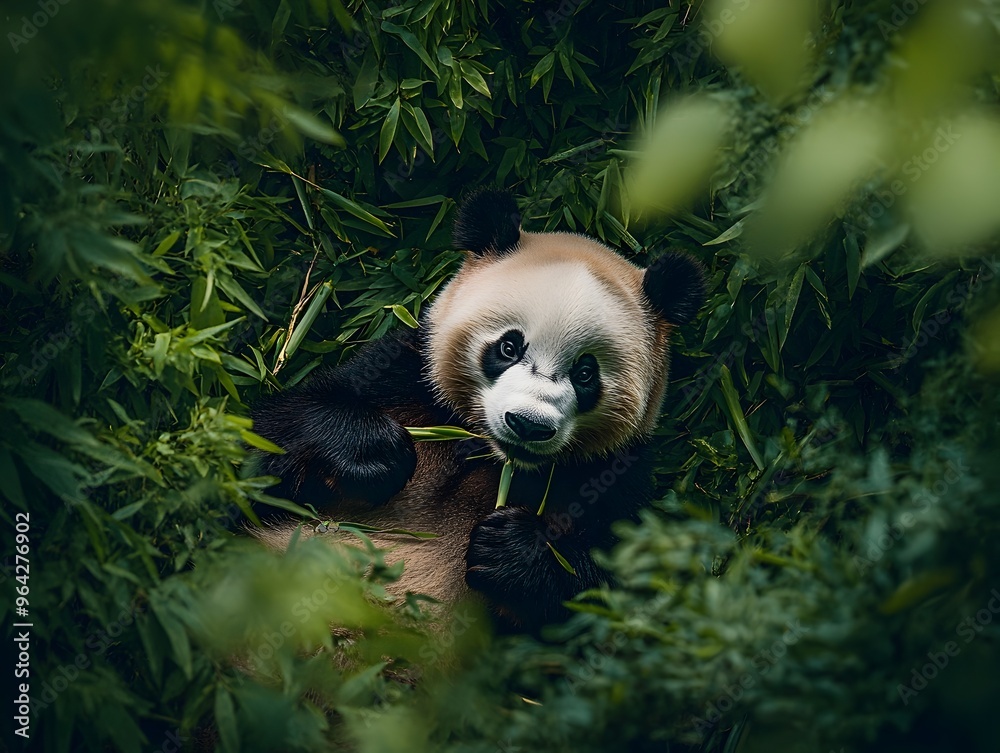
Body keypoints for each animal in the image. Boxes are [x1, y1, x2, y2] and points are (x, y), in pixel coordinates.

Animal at [250, 188, 706, 630]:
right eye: (509, 347)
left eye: (585, 373)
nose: (527, 425)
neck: (490, 456)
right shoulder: (407, 380)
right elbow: (266, 441)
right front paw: (373, 453)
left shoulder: (614, 473)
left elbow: (617, 597)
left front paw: (511, 550)